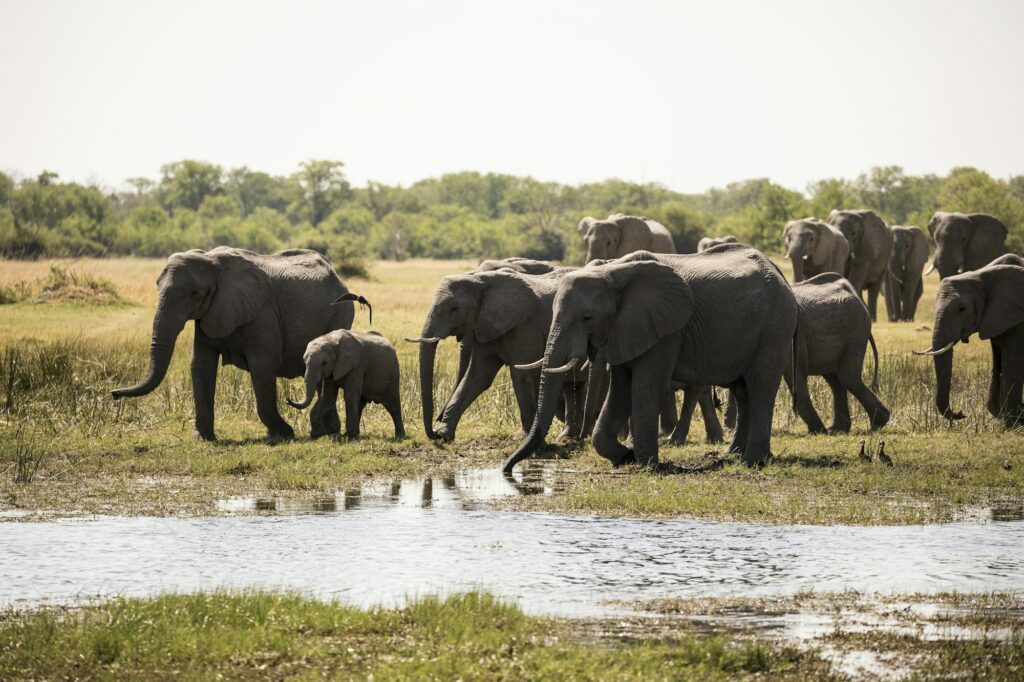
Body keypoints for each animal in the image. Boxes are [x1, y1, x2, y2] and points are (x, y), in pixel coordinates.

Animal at [111, 247, 368, 440]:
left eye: (194, 293)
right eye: (157, 285)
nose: (114, 394)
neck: (211, 260)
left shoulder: (262, 313)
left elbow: (263, 365)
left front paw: (284, 434)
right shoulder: (210, 313)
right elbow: (201, 364)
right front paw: (202, 438)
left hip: (340, 312)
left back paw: (326, 433)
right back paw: (328, 432)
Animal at [407, 266, 594, 443]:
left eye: (455, 308)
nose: (434, 432)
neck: (479, 280)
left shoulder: (526, 326)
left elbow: (520, 375)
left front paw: (523, 438)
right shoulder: (486, 325)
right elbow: (477, 377)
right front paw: (445, 434)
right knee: (572, 388)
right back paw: (568, 438)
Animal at [503, 245, 798, 471]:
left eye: (587, 318)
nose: (507, 470)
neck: (613, 272)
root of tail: (781, 275)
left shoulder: (667, 330)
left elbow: (645, 387)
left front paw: (648, 465)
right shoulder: (627, 327)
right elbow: (620, 391)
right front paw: (625, 456)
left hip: (775, 326)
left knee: (760, 388)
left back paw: (752, 462)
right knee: (742, 390)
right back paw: (732, 456)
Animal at [787, 273, 889, 433]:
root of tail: (851, 290)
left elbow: (794, 373)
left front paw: (816, 431)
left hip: (856, 332)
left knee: (848, 378)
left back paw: (877, 423)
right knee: (836, 380)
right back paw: (837, 429)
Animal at [915, 253, 1024, 428]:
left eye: (962, 309)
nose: (961, 413)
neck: (982, 276)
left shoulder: (1018, 319)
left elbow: (1012, 363)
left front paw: (1013, 423)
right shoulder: (996, 318)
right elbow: (997, 362)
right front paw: (1006, 417)